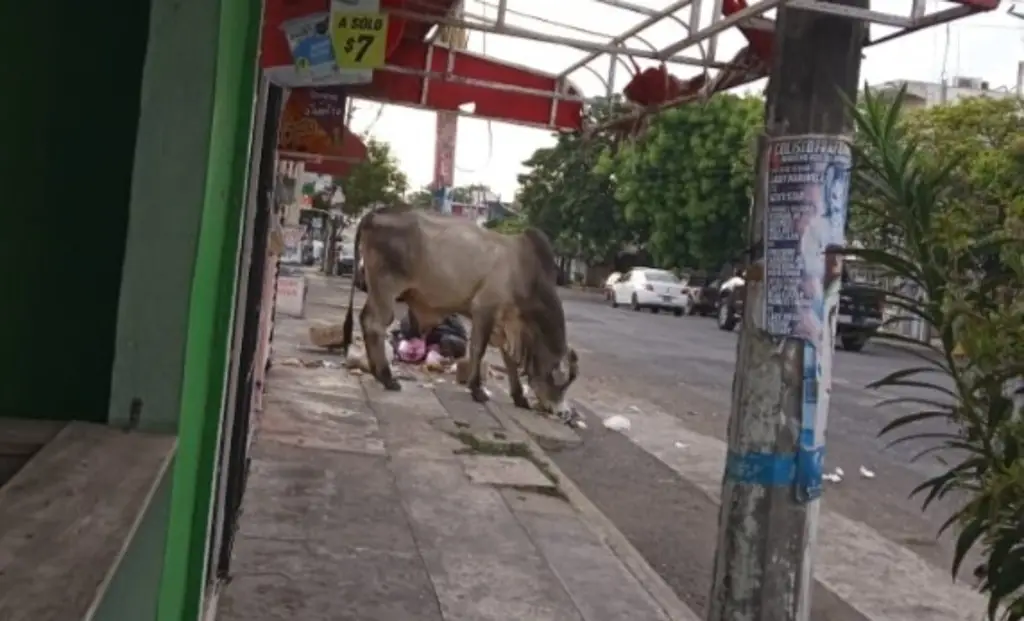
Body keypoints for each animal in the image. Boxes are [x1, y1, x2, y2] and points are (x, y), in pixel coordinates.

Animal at [342, 208, 577, 418]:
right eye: (559, 383)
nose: (564, 413)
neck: (526, 274)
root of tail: (374, 213)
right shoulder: (484, 309)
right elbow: (478, 350)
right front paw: (477, 390)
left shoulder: (505, 323)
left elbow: (509, 359)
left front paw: (519, 397)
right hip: (386, 287)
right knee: (375, 323)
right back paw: (387, 378)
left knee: (368, 321)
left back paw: (378, 373)